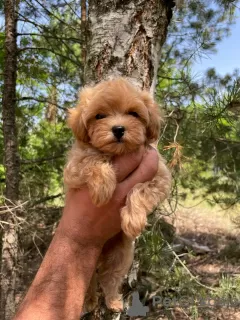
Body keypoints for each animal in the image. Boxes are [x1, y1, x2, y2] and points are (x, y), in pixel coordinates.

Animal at [63, 78, 172, 312]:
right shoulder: (74, 169)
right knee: (90, 281)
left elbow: (140, 190)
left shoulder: (160, 177)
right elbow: (93, 159)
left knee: (110, 278)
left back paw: (113, 301)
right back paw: (90, 301)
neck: (117, 153)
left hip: (121, 255)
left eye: (133, 113)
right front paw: (104, 186)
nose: (119, 129)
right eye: (99, 116)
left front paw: (133, 220)